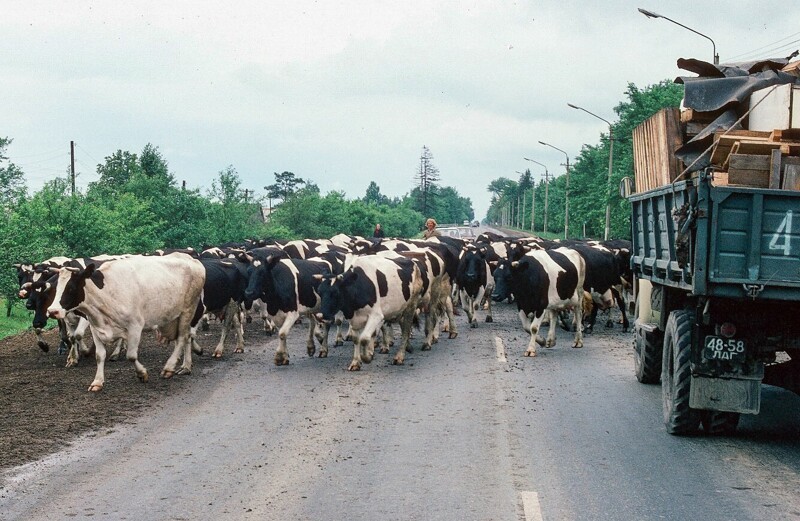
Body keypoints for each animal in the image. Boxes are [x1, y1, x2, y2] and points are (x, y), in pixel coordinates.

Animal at [45, 252, 206, 390]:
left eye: (71, 288)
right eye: (55, 288)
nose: (52, 311)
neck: (105, 294)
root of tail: (192, 260)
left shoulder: (135, 326)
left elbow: (131, 355)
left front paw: (142, 374)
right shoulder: (96, 327)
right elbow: (100, 356)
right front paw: (97, 381)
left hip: (188, 310)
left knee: (182, 338)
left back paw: (170, 368)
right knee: (186, 337)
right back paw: (186, 366)